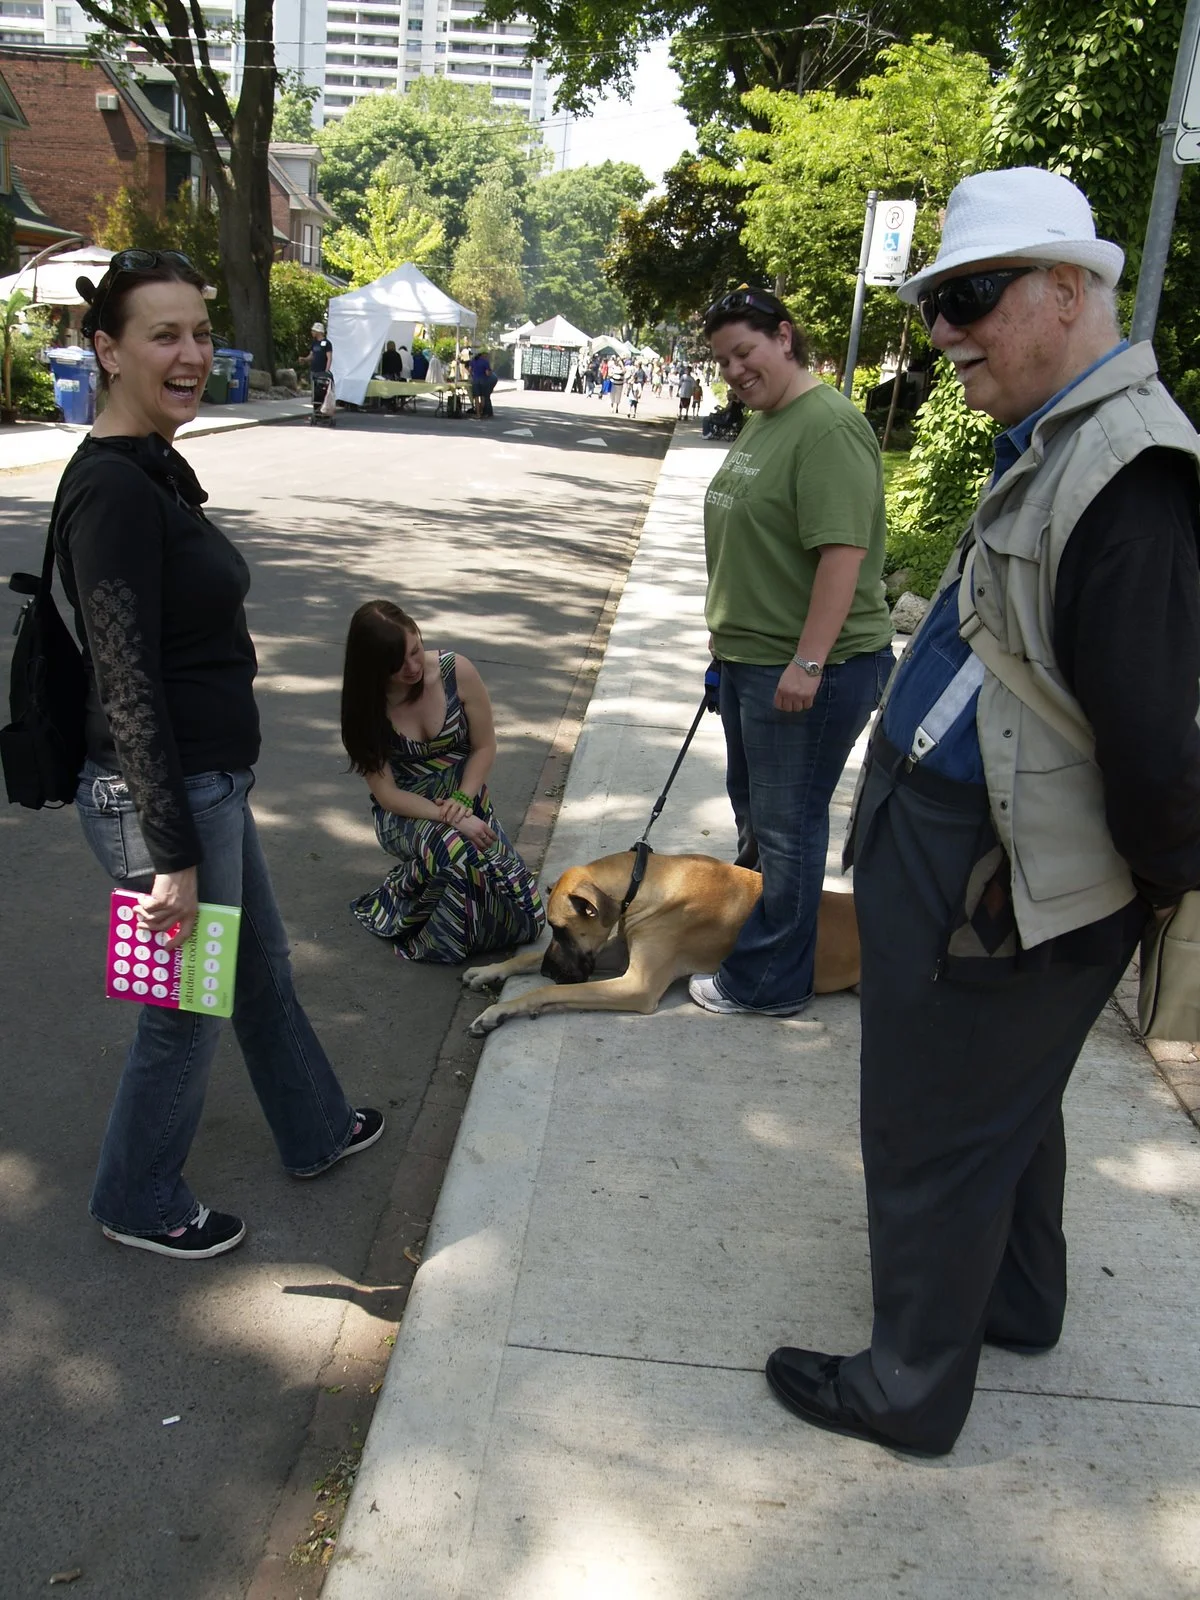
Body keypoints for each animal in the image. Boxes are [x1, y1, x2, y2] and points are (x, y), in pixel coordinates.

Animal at [462, 849, 859, 1035]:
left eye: (561, 930)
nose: (548, 970)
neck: (641, 884)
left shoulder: (637, 984)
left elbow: (550, 993)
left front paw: (500, 1010)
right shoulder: (619, 950)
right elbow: (524, 959)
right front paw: (490, 970)